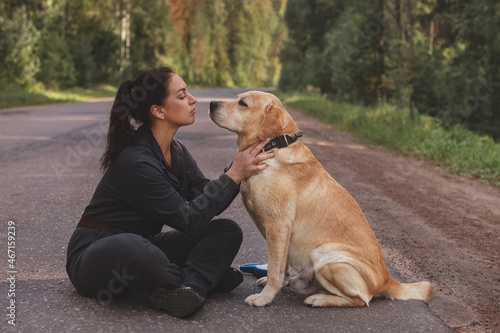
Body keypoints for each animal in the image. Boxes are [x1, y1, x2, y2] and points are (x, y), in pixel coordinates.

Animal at [208, 90, 434, 306]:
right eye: (237, 99)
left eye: (243, 103)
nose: (211, 103)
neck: (273, 146)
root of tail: (386, 280)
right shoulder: (279, 232)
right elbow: (280, 265)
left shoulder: (278, 226)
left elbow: (274, 271)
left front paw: (264, 298)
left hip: (324, 254)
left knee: (361, 300)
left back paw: (318, 299)